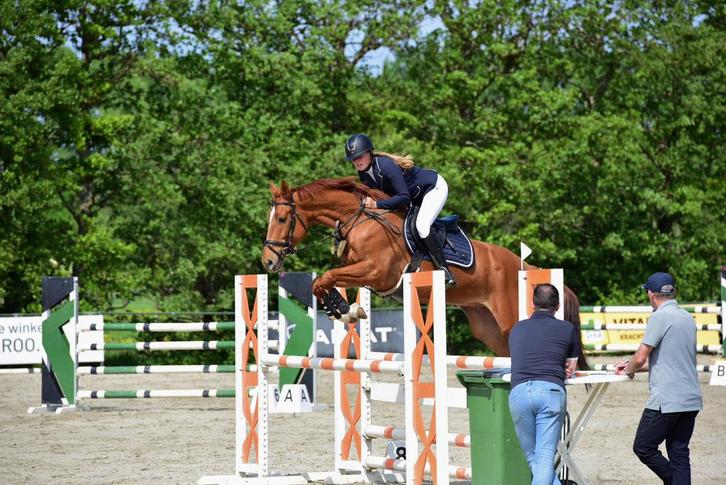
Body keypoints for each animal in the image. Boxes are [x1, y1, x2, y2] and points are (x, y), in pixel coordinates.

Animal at [262, 178, 587, 369]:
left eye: (282, 218)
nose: (268, 262)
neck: (360, 221)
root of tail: (526, 267)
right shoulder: (362, 273)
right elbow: (323, 281)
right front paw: (344, 309)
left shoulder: (376, 272)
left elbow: (325, 277)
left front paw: (345, 309)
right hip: (488, 327)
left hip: (511, 317)